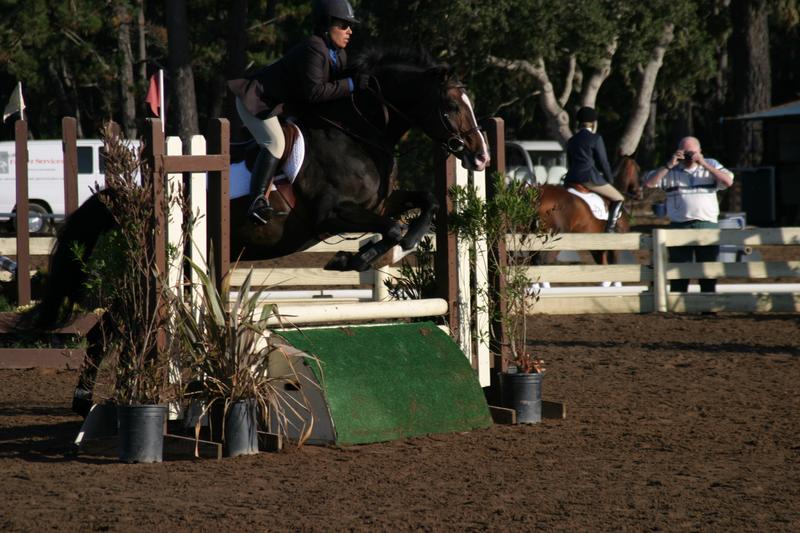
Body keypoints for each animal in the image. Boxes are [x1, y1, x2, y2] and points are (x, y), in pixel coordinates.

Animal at [32, 47, 490, 414]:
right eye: (451, 106)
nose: (482, 157)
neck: (356, 135)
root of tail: (135, 199)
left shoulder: (377, 204)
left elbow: (425, 202)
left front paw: (381, 249)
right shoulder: (332, 215)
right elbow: (392, 227)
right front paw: (354, 257)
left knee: (111, 330)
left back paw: (104, 397)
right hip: (153, 274)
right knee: (106, 332)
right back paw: (95, 400)